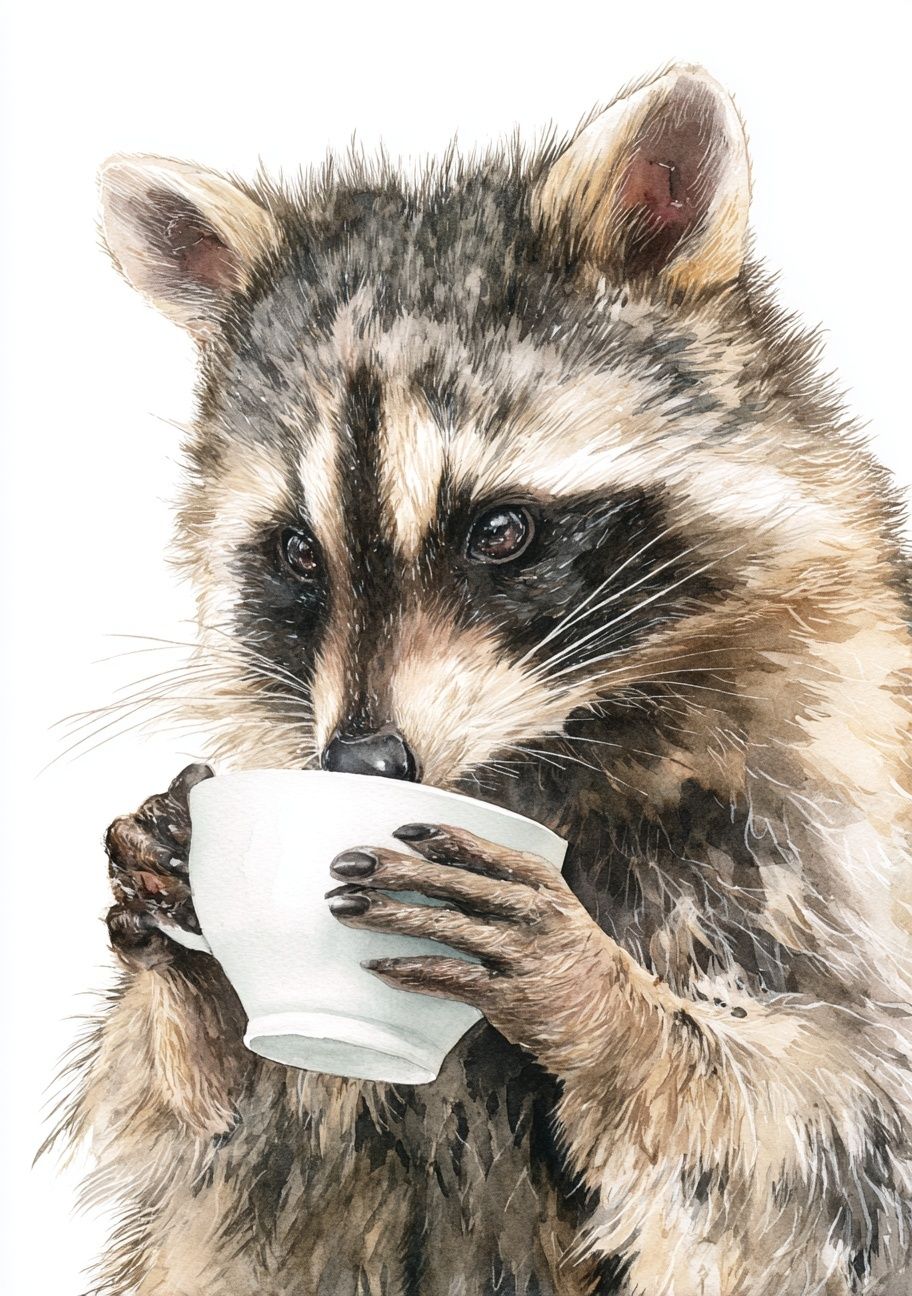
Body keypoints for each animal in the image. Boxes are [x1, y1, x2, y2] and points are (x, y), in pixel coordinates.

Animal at [51, 64, 912, 1296]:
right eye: (298, 552)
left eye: (500, 532)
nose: (363, 760)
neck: (547, 753)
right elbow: (216, 1153)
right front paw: (187, 955)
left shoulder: (833, 822)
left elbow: (838, 1152)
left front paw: (609, 1010)